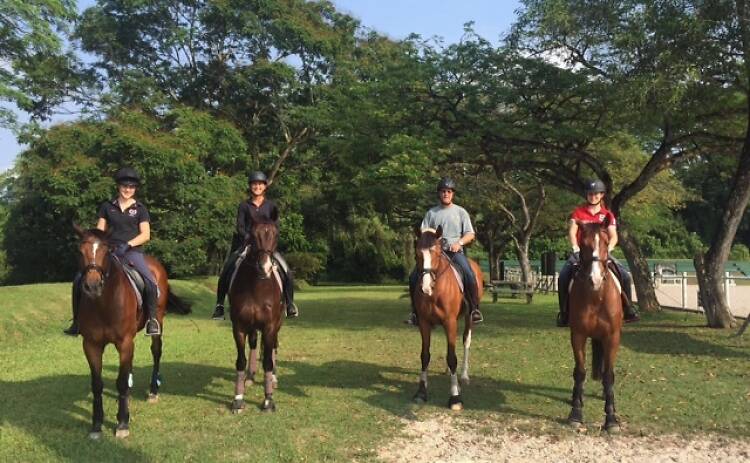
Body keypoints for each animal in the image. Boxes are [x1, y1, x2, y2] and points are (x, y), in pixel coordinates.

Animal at [72, 227, 191, 440]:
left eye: (106, 251)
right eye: (80, 251)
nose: (92, 287)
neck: (104, 304)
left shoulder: (125, 342)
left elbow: (120, 382)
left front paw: (122, 423)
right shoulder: (91, 345)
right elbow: (97, 384)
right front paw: (96, 424)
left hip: (157, 322)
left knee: (156, 352)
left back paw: (153, 390)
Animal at [228, 208, 284, 416]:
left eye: (276, 234)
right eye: (252, 235)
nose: (265, 267)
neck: (256, 286)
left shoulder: (269, 326)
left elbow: (267, 361)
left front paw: (268, 400)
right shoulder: (239, 327)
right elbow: (240, 361)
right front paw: (238, 399)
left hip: (277, 324)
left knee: (274, 346)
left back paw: (273, 378)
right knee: (253, 344)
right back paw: (250, 376)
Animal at [414, 227, 484, 412]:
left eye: (438, 253)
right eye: (417, 254)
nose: (425, 287)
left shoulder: (450, 322)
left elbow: (452, 357)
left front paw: (455, 397)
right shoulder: (424, 323)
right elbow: (425, 355)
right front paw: (421, 392)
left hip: (468, 318)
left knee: (466, 341)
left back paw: (464, 376)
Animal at [568, 223, 624, 434]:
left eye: (607, 243)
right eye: (583, 244)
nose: (595, 279)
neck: (596, 296)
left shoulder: (612, 337)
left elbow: (608, 375)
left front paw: (611, 419)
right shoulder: (578, 335)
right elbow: (580, 372)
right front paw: (576, 414)